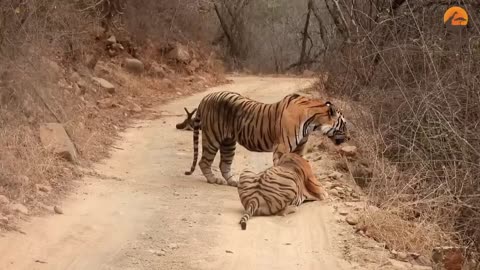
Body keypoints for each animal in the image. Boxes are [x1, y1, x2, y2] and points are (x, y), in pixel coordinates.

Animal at [185, 90, 348, 188]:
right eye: (345, 124)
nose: (349, 137)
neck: (313, 123)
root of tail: (206, 97)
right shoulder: (282, 148)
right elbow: (282, 168)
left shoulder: (298, 149)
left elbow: (297, 167)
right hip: (212, 138)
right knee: (204, 161)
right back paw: (213, 180)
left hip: (228, 142)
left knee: (224, 164)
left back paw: (234, 182)